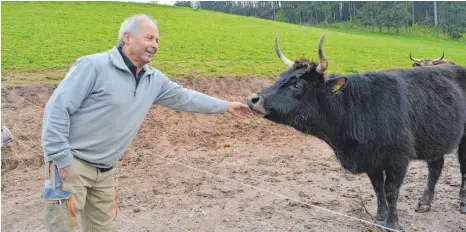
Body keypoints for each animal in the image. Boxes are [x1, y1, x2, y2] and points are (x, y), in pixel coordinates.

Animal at [248, 33, 466, 230]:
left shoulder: (398, 159)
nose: (253, 99)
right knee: (436, 167)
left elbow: (391, 191)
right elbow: (378, 189)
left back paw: (462, 203)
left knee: (462, 169)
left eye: (297, 84)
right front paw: (379, 217)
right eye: (280, 77)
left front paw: (392, 223)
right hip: (435, 138)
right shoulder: (370, 159)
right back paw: (424, 203)